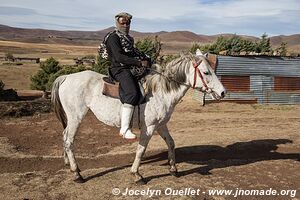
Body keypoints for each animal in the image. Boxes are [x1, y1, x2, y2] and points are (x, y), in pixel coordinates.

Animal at [51, 50, 225, 184]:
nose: (223, 92)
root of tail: (66, 77)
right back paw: (77, 173)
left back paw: (68, 163)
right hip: (76, 117)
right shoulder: (149, 127)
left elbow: (171, 143)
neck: (160, 92)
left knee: (64, 136)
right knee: (69, 140)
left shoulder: (161, 125)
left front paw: (173, 169)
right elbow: (141, 150)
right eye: (206, 72)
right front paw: (136, 174)